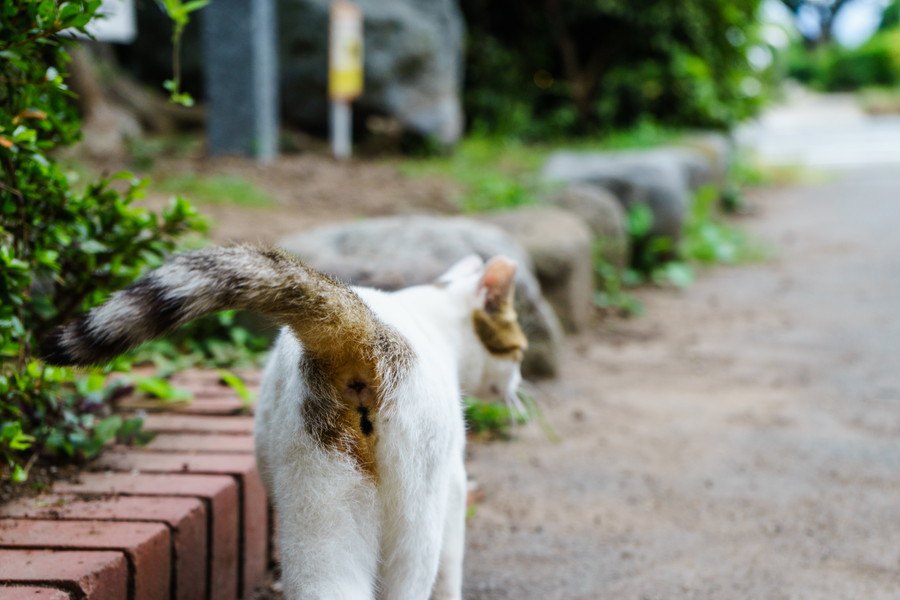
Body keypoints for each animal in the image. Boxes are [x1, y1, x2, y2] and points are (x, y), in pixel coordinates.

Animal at [40, 245, 528, 600]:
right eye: (519, 349)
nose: (519, 383)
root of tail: (368, 336)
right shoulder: (454, 484)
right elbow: (451, 570)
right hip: (409, 524)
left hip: (319, 504)